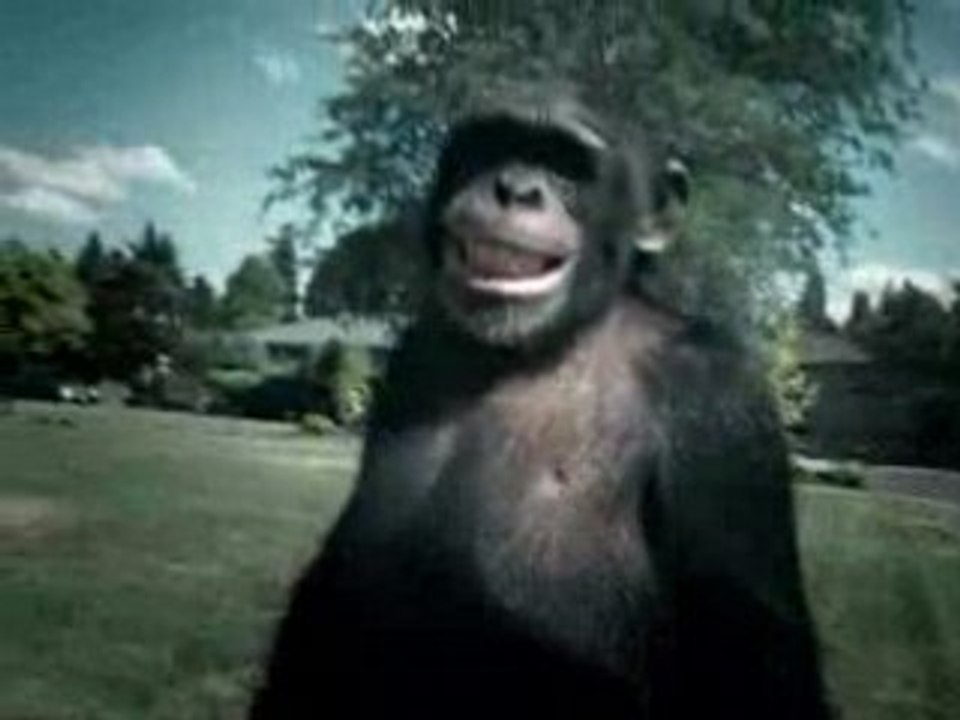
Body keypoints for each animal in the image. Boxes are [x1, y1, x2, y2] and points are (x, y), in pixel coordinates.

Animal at [248, 88, 831, 720]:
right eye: (491, 146)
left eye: (566, 164)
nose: (515, 187)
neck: (549, 342)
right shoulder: (416, 353)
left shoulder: (719, 402)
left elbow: (756, 654)